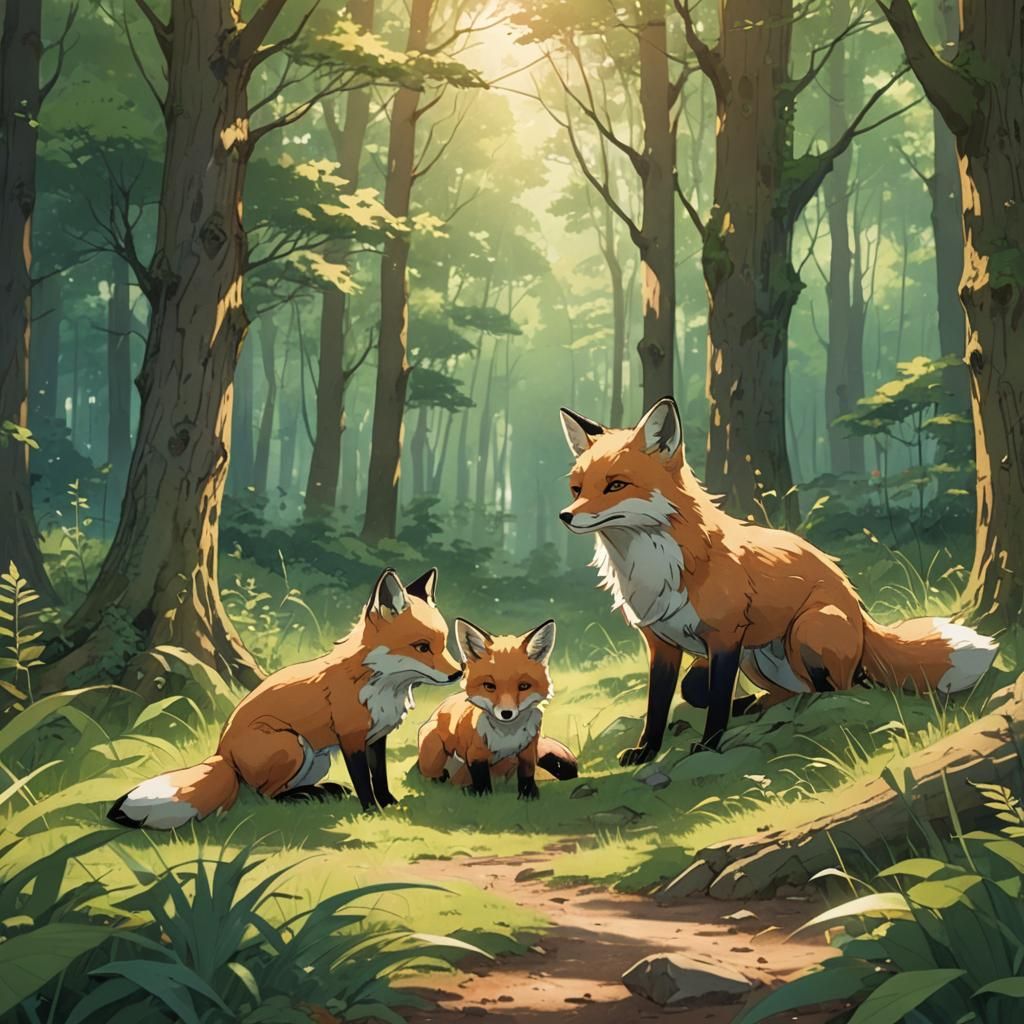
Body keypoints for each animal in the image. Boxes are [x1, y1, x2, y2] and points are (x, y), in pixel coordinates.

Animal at [108, 568, 462, 828]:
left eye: (444, 644)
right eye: (421, 647)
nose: (458, 673)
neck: (383, 686)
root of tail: (222, 753)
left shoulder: (376, 737)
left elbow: (380, 776)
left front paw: (389, 803)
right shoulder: (351, 738)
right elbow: (364, 780)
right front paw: (372, 811)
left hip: (316, 759)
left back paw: (322, 791)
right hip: (292, 745)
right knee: (265, 795)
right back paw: (308, 797)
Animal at [417, 618, 578, 798]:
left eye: (524, 686)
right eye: (489, 686)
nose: (506, 713)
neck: (507, 737)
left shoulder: (528, 752)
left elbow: (527, 774)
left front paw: (528, 795)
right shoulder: (475, 753)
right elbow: (481, 780)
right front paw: (483, 796)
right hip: (432, 749)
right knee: (436, 776)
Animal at [558, 397, 998, 766]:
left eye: (616, 485)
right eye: (577, 489)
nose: (565, 515)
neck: (656, 566)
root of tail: (860, 610)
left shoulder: (726, 637)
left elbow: (716, 698)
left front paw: (710, 744)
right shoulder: (661, 643)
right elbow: (663, 702)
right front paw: (647, 750)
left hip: (807, 629)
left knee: (845, 686)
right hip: (757, 657)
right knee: (791, 691)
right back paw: (756, 705)